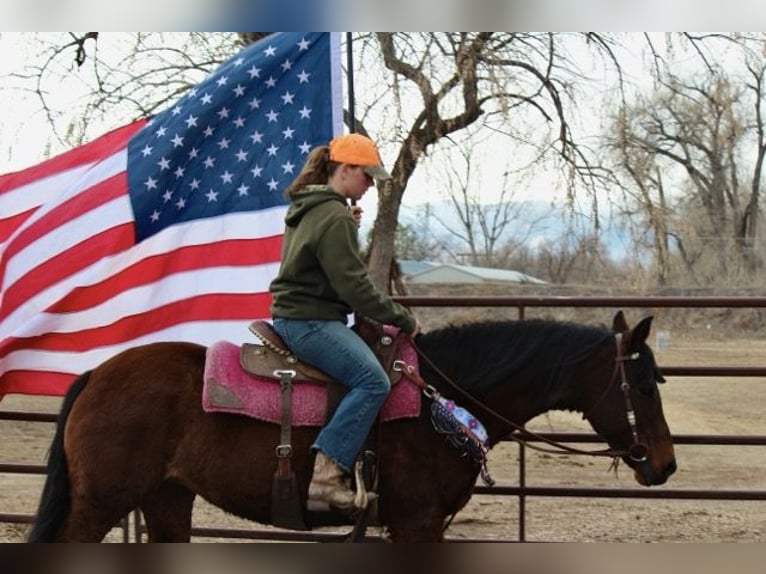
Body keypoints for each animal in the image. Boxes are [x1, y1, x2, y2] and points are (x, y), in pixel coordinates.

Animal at [28, 312, 680, 544]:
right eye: (645, 384)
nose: (666, 464)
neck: (437, 402)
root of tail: (96, 373)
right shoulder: (418, 523)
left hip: (167, 499)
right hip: (101, 502)